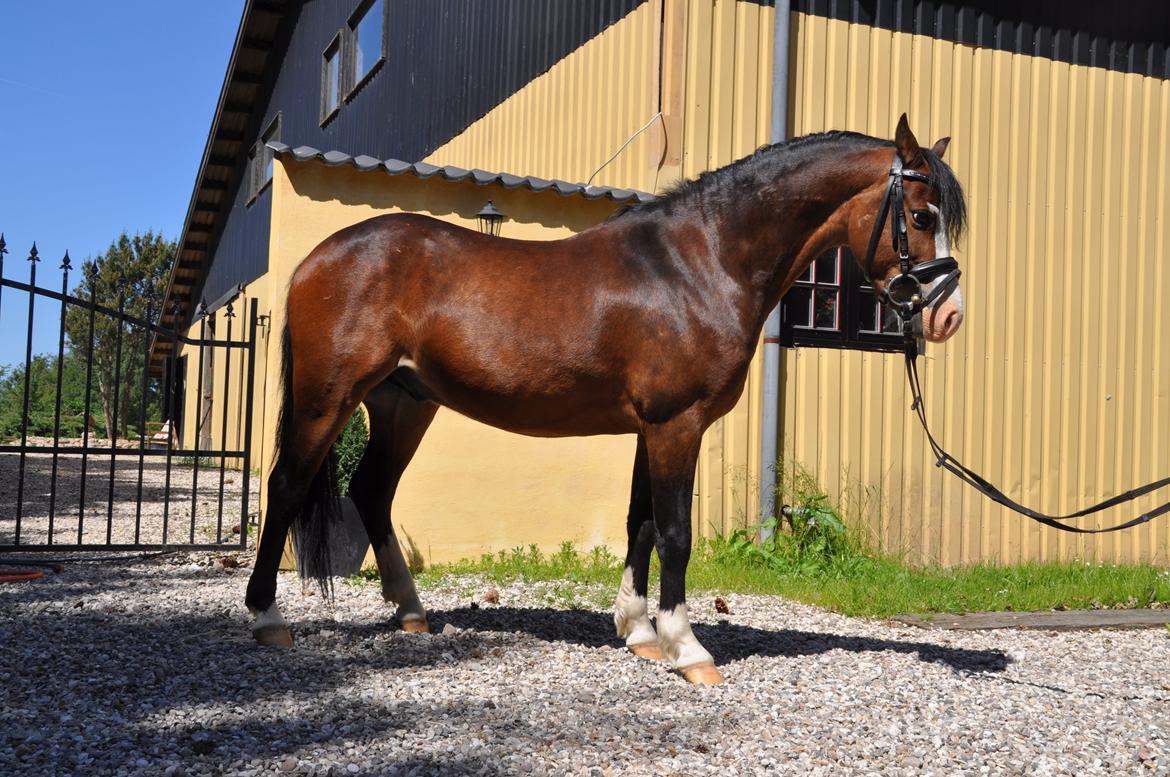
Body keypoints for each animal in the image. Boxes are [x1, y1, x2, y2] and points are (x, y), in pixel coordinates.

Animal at [245, 115, 967, 685]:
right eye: (922, 216)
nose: (948, 316)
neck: (699, 262)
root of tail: (316, 257)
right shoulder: (678, 424)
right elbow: (675, 533)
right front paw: (688, 648)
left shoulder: (653, 428)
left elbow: (639, 523)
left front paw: (640, 631)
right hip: (328, 397)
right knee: (287, 486)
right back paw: (267, 618)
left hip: (404, 403)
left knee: (371, 490)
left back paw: (412, 613)